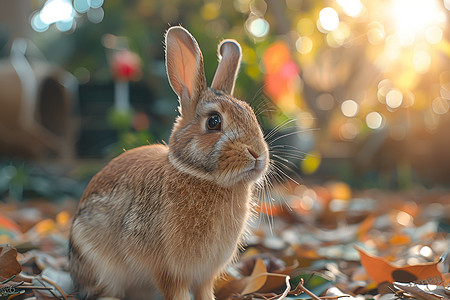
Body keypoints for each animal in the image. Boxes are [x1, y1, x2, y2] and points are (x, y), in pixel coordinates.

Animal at [68, 25, 268, 300]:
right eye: (213, 121)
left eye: (249, 113)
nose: (258, 154)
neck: (199, 175)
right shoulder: (169, 271)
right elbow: (177, 291)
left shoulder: (205, 274)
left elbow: (205, 292)